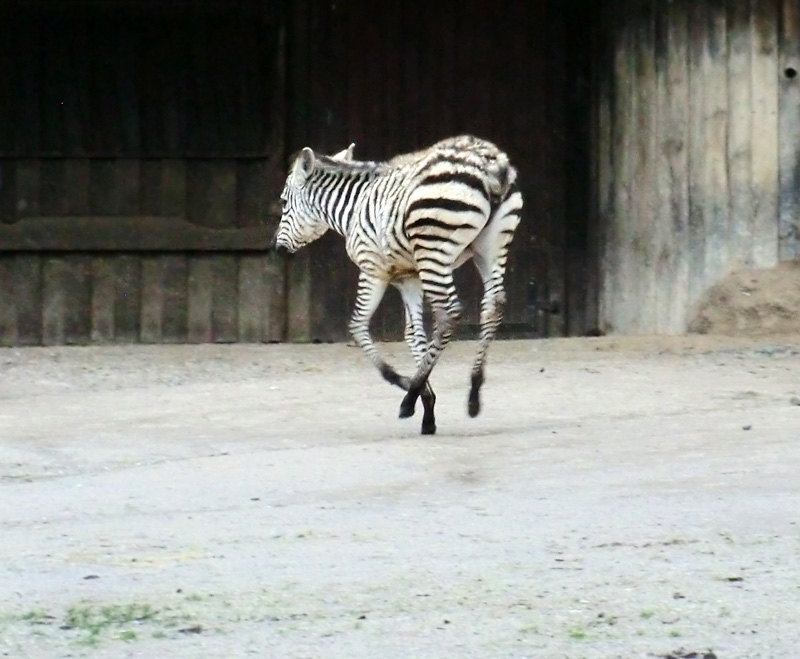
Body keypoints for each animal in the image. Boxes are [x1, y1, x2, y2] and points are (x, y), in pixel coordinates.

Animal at [274, 135, 524, 436]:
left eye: (284, 202)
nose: (277, 250)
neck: (353, 208)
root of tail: (491, 166)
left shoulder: (372, 269)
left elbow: (357, 325)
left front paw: (406, 383)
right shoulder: (409, 278)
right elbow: (413, 334)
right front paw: (428, 408)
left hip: (434, 249)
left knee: (449, 313)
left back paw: (410, 395)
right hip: (491, 248)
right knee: (493, 306)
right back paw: (474, 391)